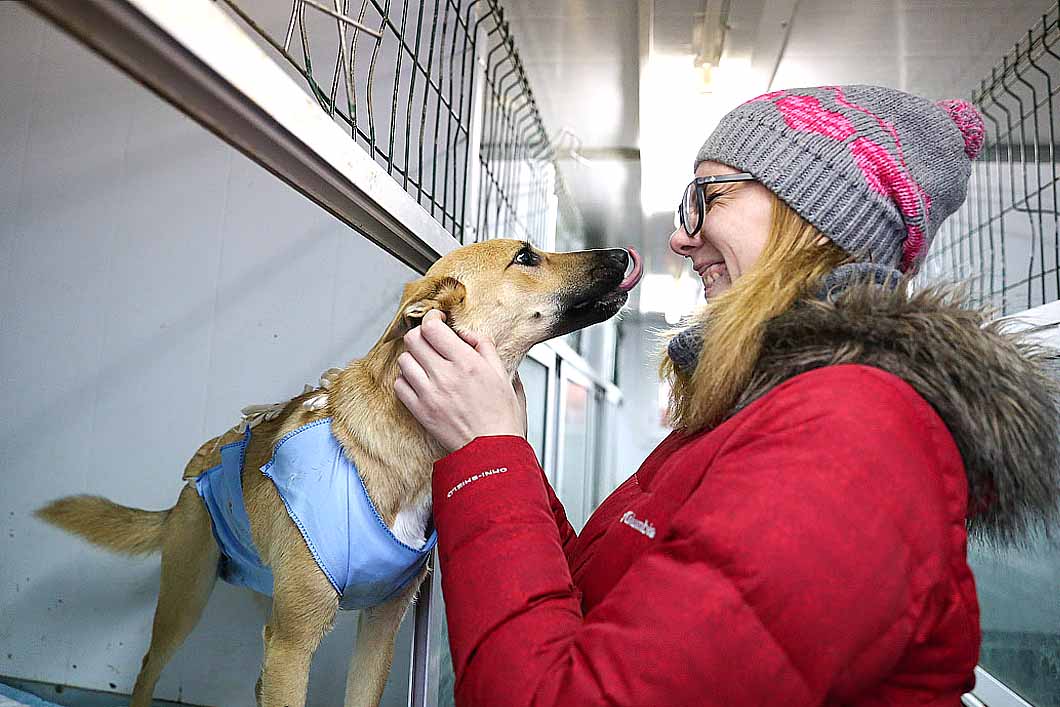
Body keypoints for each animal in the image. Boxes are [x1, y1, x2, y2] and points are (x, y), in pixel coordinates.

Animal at [33, 240, 640, 707]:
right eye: (525, 256)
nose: (622, 253)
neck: (409, 453)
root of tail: (189, 485)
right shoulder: (294, 641)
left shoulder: (377, 631)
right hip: (188, 598)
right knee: (148, 670)